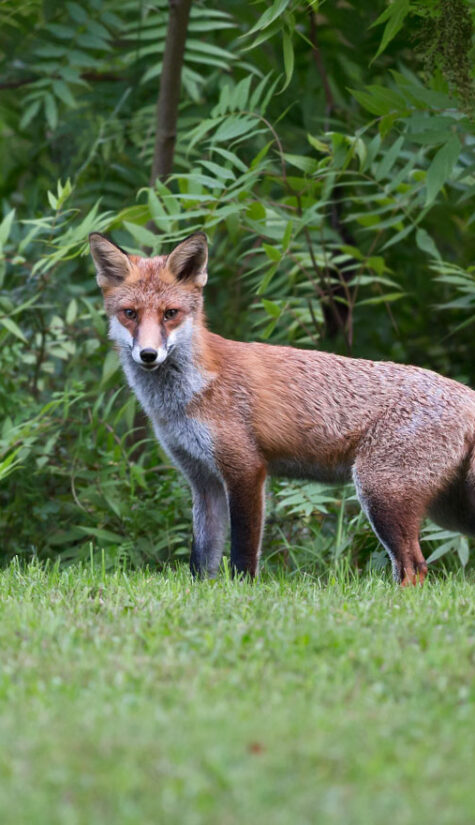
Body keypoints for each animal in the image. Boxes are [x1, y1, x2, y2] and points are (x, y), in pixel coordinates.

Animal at [89, 231, 475, 586]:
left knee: (414, 567)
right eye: (130, 314)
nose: (148, 354)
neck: (186, 396)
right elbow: (202, 558)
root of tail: (465, 392)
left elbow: (243, 551)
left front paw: (241, 592)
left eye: (170, 314)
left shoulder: (246, 470)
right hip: (446, 510)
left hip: (381, 493)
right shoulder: (202, 480)